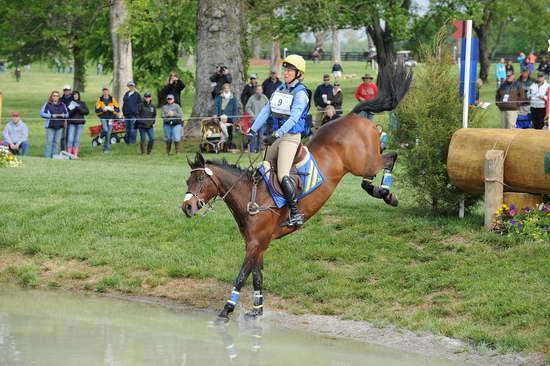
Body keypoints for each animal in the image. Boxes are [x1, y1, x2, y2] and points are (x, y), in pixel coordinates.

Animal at [183, 61, 412, 322]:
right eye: (188, 180)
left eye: (201, 179)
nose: (186, 207)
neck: (249, 195)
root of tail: (352, 115)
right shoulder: (257, 244)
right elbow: (257, 277)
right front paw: (256, 310)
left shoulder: (255, 244)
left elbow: (241, 276)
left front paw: (226, 309)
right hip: (363, 163)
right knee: (376, 171)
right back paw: (377, 189)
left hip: (364, 162)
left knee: (391, 156)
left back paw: (387, 194)